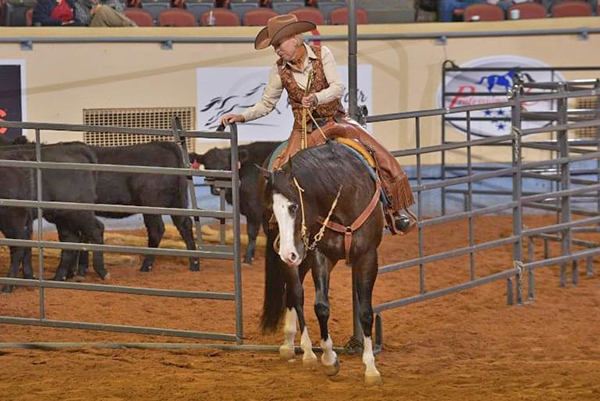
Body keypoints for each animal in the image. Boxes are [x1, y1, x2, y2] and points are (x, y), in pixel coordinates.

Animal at [0, 142, 109, 292]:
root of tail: (76, 146)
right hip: (60, 216)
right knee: (70, 239)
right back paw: (59, 276)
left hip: (74, 211)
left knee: (96, 230)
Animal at [262, 141, 384, 384]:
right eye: (272, 209)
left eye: (294, 207)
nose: (287, 252)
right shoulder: (321, 255)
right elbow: (321, 307)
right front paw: (329, 359)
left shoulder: (367, 256)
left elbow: (366, 312)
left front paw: (371, 368)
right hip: (297, 259)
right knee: (295, 293)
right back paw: (305, 351)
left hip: (302, 258)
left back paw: (292, 345)